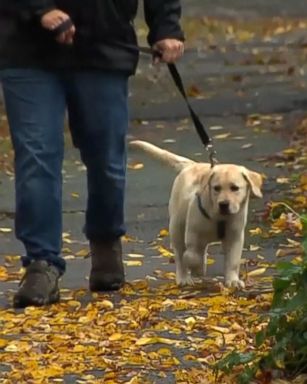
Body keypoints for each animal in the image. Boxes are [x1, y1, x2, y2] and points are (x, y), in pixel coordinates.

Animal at [131, 141, 264, 288]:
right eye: (216, 188)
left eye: (235, 188)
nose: (223, 204)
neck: (220, 218)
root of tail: (191, 165)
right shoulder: (192, 234)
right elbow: (191, 256)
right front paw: (198, 269)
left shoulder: (235, 237)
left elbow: (233, 261)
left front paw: (233, 280)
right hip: (176, 227)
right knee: (180, 254)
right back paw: (184, 278)